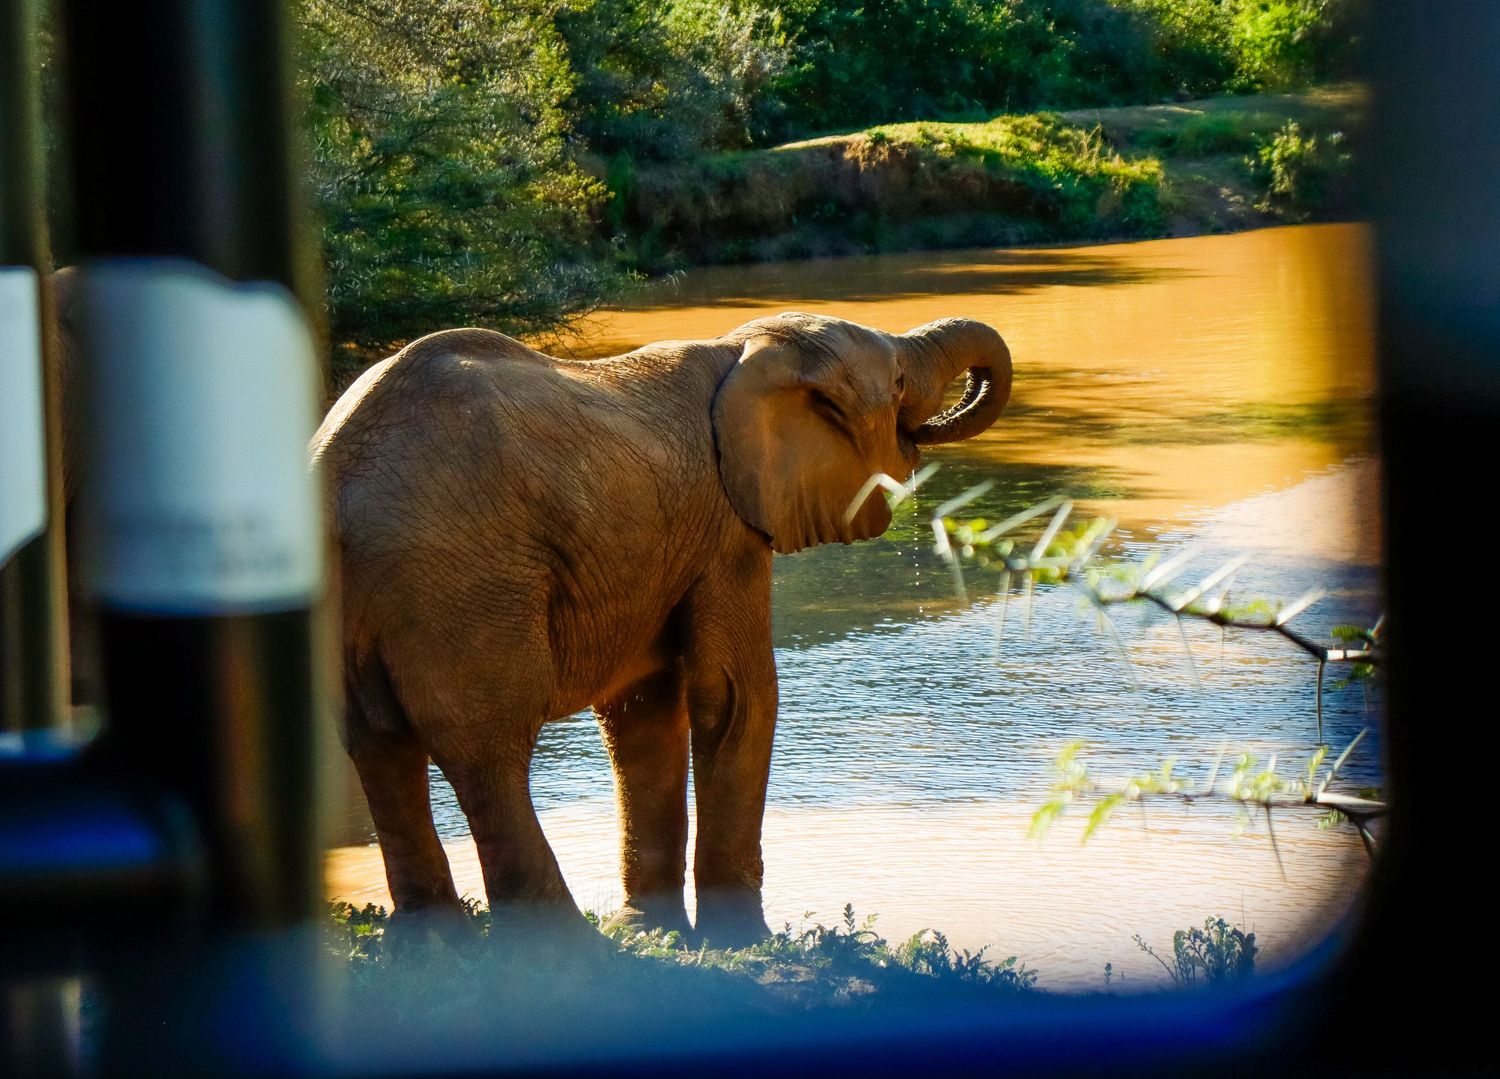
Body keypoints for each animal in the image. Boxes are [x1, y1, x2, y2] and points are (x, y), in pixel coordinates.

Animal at [312, 311, 1012, 944]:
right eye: (897, 382)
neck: (741, 347)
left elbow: (642, 710)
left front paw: (656, 933)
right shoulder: (728, 529)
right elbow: (735, 695)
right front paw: (739, 943)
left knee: (378, 744)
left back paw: (430, 949)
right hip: (464, 585)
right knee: (487, 747)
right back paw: (562, 953)